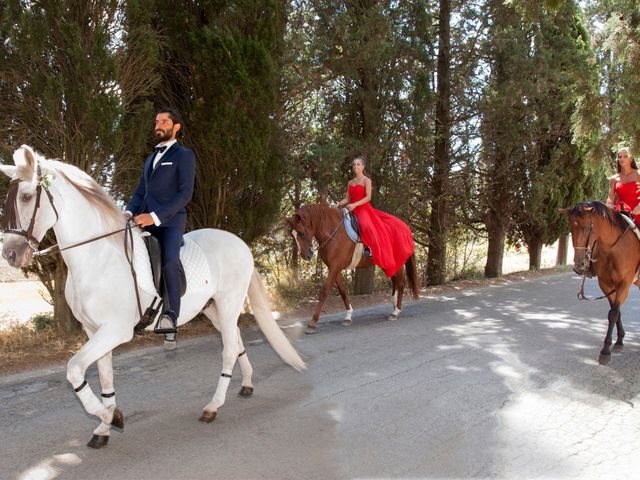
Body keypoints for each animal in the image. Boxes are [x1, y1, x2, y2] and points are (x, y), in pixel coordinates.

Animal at [0, 146, 304, 450]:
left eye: (26, 196)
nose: (11, 254)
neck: (97, 257)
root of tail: (239, 242)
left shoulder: (116, 330)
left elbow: (74, 369)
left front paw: (111, 418)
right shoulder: (94, 330)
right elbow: (105, 377)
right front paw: (104, 427)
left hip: (229, 304)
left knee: (229, 350)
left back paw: (212, 407)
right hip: (213, 309)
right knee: (236, 340)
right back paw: (247, 384)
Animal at [286, 202, 420, 334]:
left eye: (302, 233)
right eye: (292, 235)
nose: (306, 256)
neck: (332, 231)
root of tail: (404, 226)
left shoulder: (335, 267)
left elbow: (324, 292)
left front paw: (313, 323)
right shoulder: (334, 268)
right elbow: (342, 291)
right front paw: (348, 317)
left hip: (397, 263)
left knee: (401, 284)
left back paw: (396, 312)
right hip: (387, 263)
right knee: (395, 282)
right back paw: (394, 306)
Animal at [556, 202, 640, 364]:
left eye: (587, 228)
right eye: (570, 229)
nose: (579, 265)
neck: (613, 250)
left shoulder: (623, 285)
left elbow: (613, 314)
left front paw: (605, 351)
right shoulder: (606, 285)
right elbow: (616, 312)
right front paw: (619, 341)